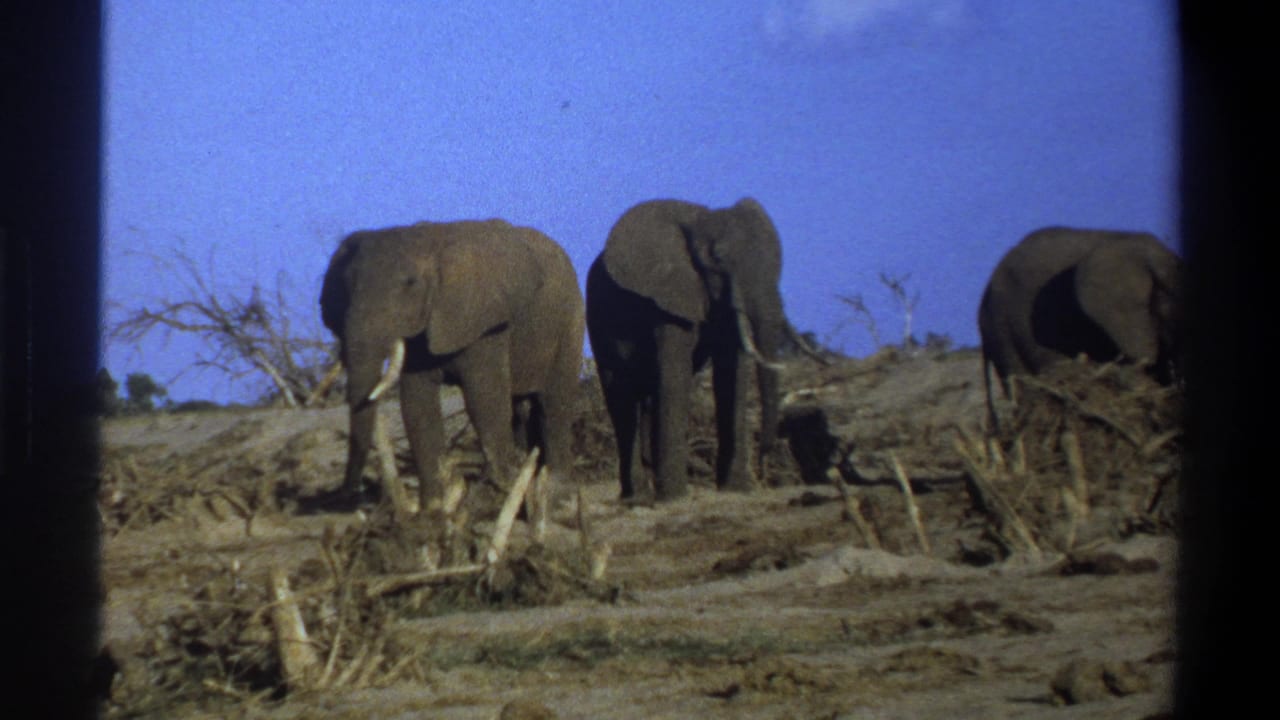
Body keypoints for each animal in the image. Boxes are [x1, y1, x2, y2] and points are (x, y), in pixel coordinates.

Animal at [319, 219, 585, 520]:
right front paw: (434, 509)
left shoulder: (485, 322)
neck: (430, 243)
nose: (352, 496)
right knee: (519, 406)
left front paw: (500, 493)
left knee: (554, 404)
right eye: (346, 286)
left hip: (570, 319)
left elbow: (484, 399)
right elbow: (417, 406)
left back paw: (556, 498)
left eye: (410, 283)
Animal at [586, 197, 820, 502]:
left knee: (646, 396)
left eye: (779, 262)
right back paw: (637, 497)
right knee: (621, 395)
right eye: (717, 260)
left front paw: (736, 489)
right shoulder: (668, 298)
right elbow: (676, 373)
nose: (765, 463)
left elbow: (732, 372)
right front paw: (674, 498)